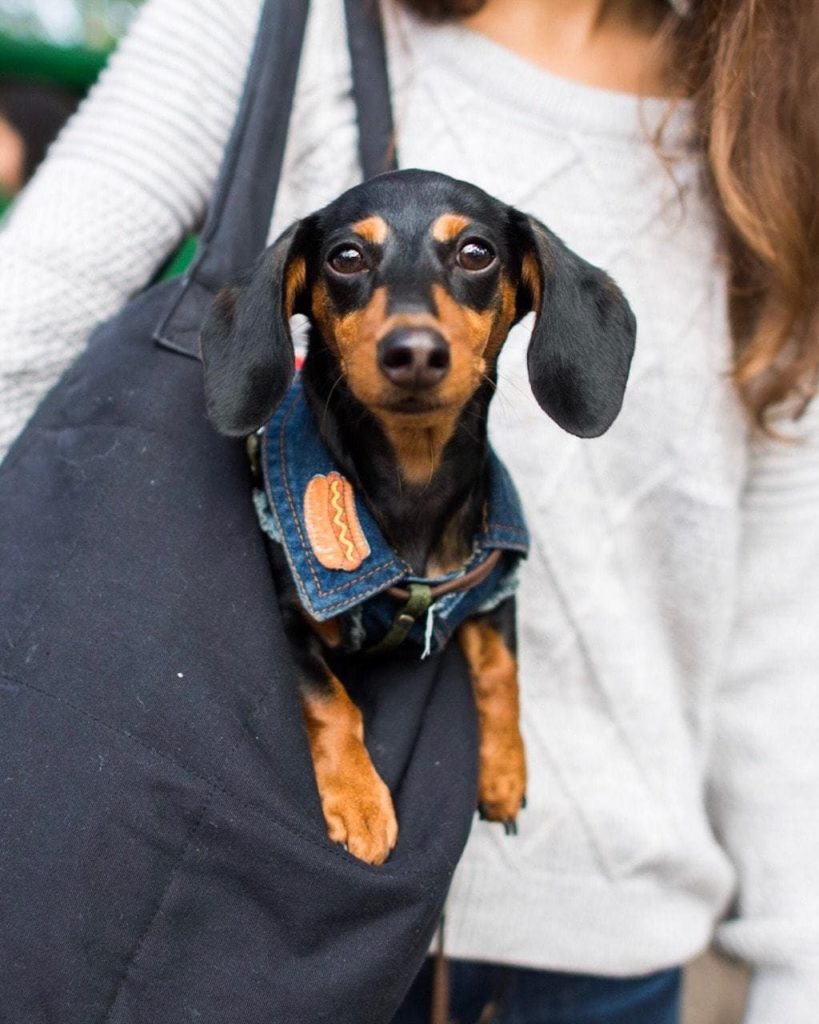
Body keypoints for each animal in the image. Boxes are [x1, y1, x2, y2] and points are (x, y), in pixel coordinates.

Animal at [198, 167, 634, 864]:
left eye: (476, 252)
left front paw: (505, 772)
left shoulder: (493, 584)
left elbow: (502, 671)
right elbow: (330, 700)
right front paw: (359, 800)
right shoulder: (290, 616)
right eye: (346, 257)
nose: (415, 351)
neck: (414, 478)